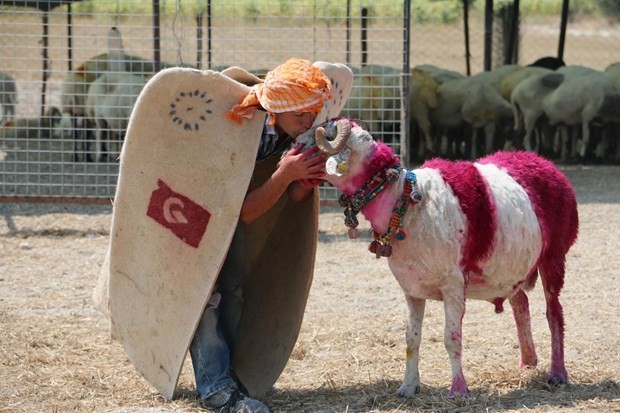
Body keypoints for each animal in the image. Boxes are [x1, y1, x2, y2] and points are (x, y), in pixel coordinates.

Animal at [298, 119, 580, 400]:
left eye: (322, 135)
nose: (295, 143)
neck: (405, 204)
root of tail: (543, 163)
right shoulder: (411, 288)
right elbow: (411, 337)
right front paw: (408, 387)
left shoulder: (453, 285)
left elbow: (451, 338)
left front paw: (458, 389)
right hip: (510, 269)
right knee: (520, 304)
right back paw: (527, 362)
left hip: (554, 256)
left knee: (554, 313)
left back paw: (558, 374)